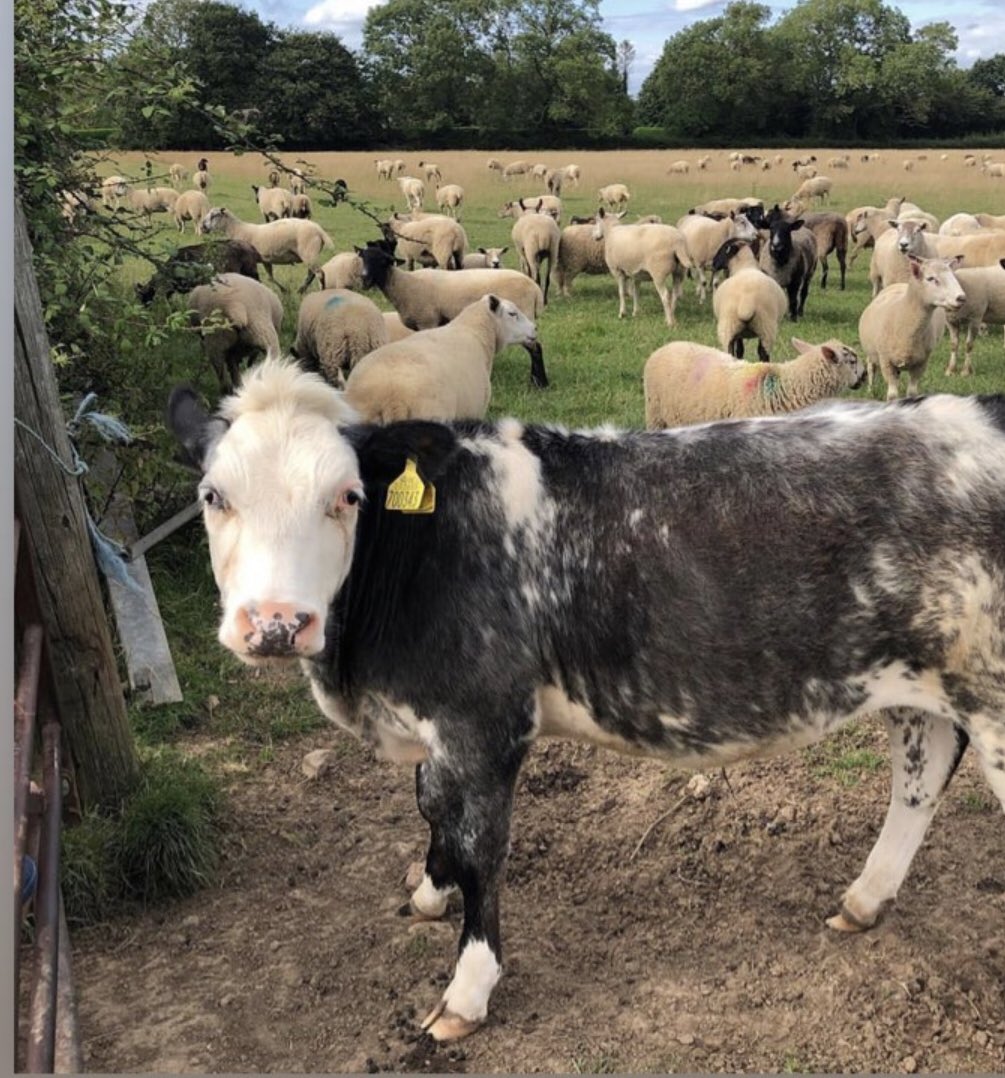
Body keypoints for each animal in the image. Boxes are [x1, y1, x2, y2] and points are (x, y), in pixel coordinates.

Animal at [168, 360, 1005, 1043]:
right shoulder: (440, 727)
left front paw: (466, 993)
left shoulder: (485, 722)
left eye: (346, 496)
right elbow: (431, 807)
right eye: (213, 496)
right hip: (915, 677)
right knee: (921, 772)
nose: (275, 624)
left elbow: (479, 847)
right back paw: (865, 898)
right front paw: (430, 890)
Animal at [199, 206, 334, 292]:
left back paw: (320, 291)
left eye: (214, 215)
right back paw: (301, 290)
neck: (237, 229)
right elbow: (270, 278)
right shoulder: (265, 259)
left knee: (319, 273)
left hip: (309, 253)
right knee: (311, 274)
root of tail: (319, 230)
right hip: (310, 255)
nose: (202, 227)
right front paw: (284, 290)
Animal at [355, 243, 548, 387]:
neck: (403, 285)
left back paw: (539, 383)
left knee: (536, 348)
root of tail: (535, 289)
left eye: (382, 261)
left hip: (523, 320)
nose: (364, 279)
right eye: (363, 258)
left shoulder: (427, 321)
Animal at [858, 254, 966, 399]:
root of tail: (898, 284)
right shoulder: (886, 362)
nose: (961, 298)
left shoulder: (921, 363)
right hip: (872, 351)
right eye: (930, 278)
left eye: (953, 276)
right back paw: (870, 391)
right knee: (871, 367)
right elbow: (892, 395)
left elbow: (912, 392)